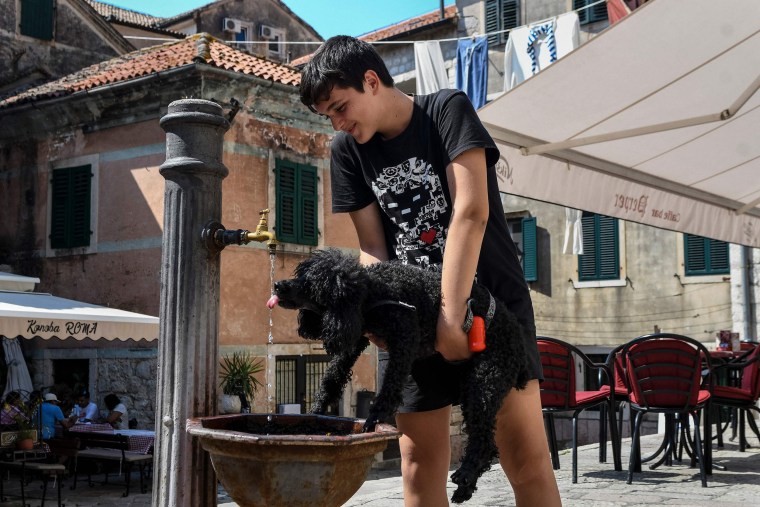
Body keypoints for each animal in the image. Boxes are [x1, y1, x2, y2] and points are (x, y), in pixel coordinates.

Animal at [272, 250, 528, 504]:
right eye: (300, 275)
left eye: (311, 284)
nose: (277, 285)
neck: (371, 292)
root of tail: (516, 332)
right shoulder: (356, 337)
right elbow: (333, 376)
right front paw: (317, 410)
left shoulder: (405, 338)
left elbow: (390, 385)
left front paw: (375, 417)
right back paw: (465, 488)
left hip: (485, 381)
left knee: (484, 439)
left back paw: (465, 473)